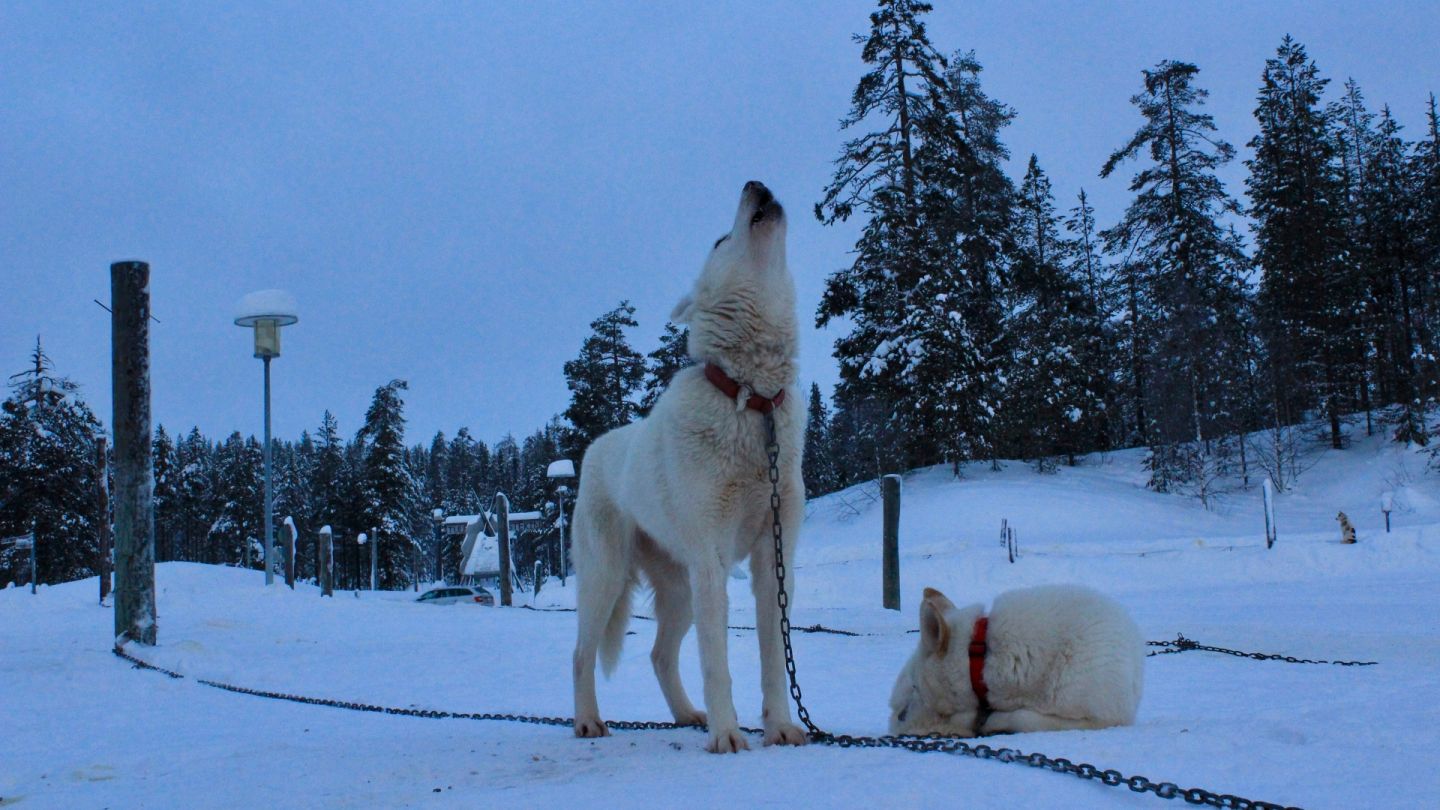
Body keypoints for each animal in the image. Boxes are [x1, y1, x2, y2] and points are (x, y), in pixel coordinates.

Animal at [570, 181, 806, 749]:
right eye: (720, 239)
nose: (755, 183)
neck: (752, 401)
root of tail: (593, 449)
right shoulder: (712, 561)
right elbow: (717, 664)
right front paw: (728, 736)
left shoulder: (773, 559)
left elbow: (773, 660)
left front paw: (780, 727)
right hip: (607, 580)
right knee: (581, 654)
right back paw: (588, 721)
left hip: (678, 592)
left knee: (659, 655)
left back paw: (685, 714)